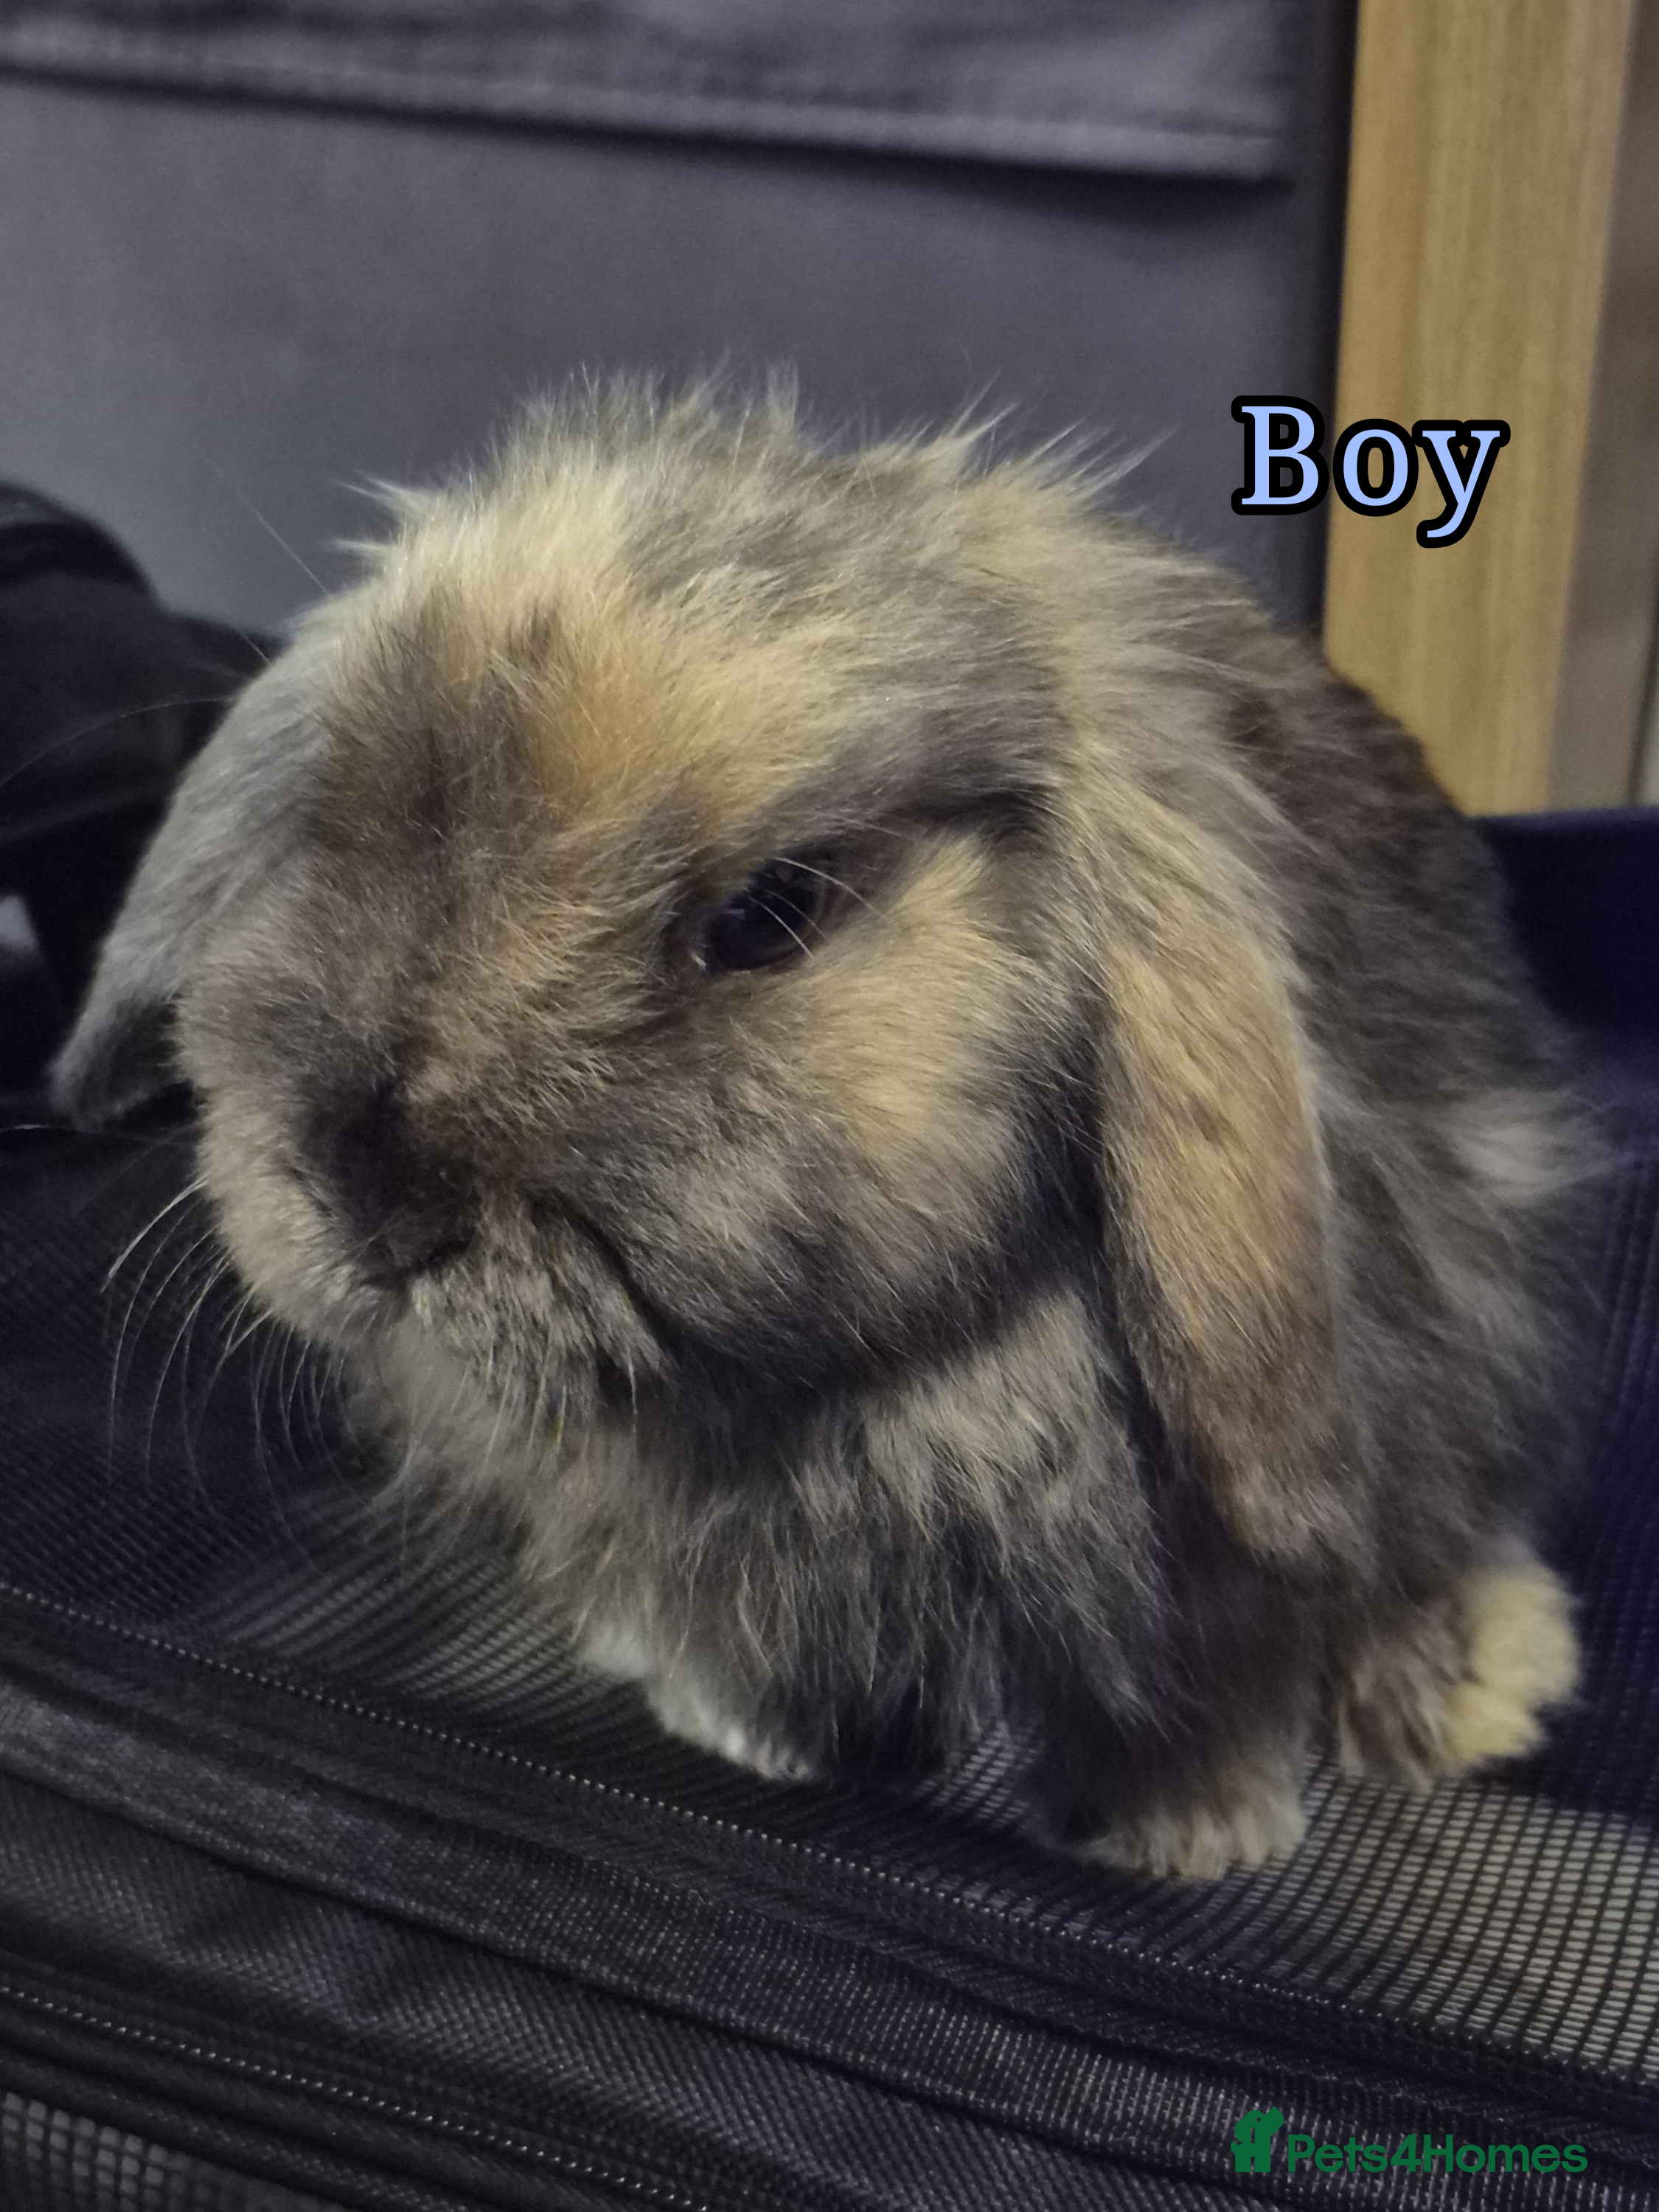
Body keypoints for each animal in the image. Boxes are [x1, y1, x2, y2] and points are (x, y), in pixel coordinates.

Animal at [52, 384, 1592, 1879]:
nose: (365, 1200)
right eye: (337, 823)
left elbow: (1196, 1681)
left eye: (767, 914)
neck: (818, 1398)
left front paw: (1193, 1840)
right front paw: (747, 1733)